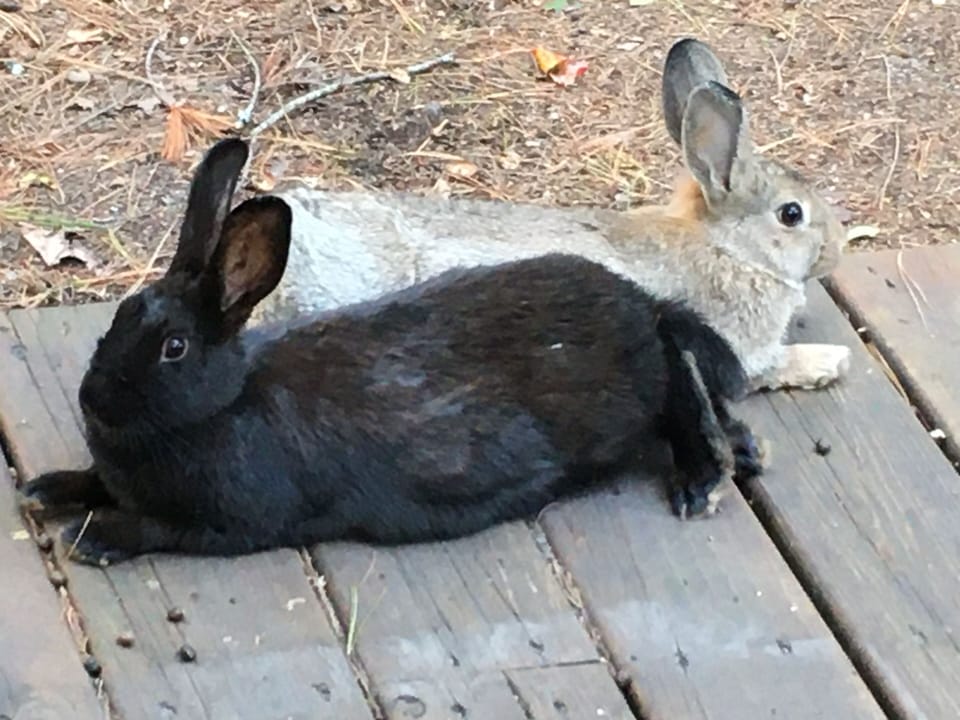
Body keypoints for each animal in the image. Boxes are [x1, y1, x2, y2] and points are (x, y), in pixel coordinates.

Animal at [18, 138, 765, 566]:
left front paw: (96, 537)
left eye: (173, 347)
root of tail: (642, 306)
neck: (221, 408)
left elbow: (158, 528)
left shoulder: (234, 522)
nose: (92, 399)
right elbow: (93, 480)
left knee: (679, 389)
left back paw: (702, 479)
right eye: (118, 318)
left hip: (632, 391)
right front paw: (46, 488)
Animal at [236, 37, 849, 392]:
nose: (835, 251)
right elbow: (773, 366)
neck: (726, 246)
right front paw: (830, 362)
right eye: (791, 214)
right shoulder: (737, 348)